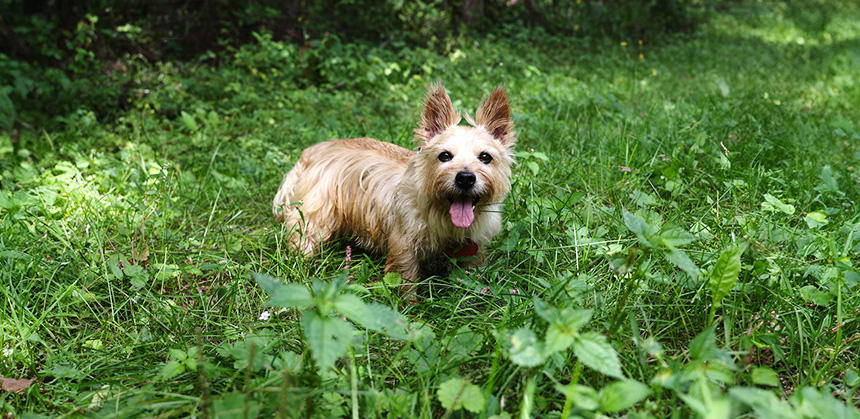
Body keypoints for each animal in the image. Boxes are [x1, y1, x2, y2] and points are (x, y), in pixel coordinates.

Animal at [276, 84, 512, 290]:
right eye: (444, 155)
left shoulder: (475, 248)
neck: (443, 215)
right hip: (314, 217)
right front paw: (410, 306)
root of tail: (318, 148)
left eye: (485, 157)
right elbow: (406, 280)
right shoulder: (404, 246)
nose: (465, 178)